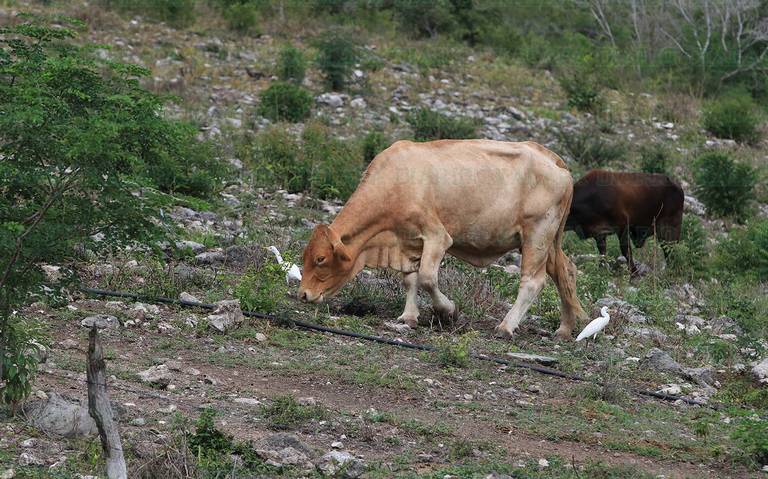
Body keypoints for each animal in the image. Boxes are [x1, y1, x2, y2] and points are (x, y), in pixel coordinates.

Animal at [296, 141, 584, 340]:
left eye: (320, 259)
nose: (302, 294)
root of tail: (553, 159)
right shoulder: (409, 242)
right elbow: (410, 279)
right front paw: (408, 317)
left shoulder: (437, 236)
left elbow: (426, 278)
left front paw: (449, 311)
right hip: (547, 242)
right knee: (565, 271)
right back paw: (564, 329)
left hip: (537, 235)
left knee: (533, 282)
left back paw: (506, 326)